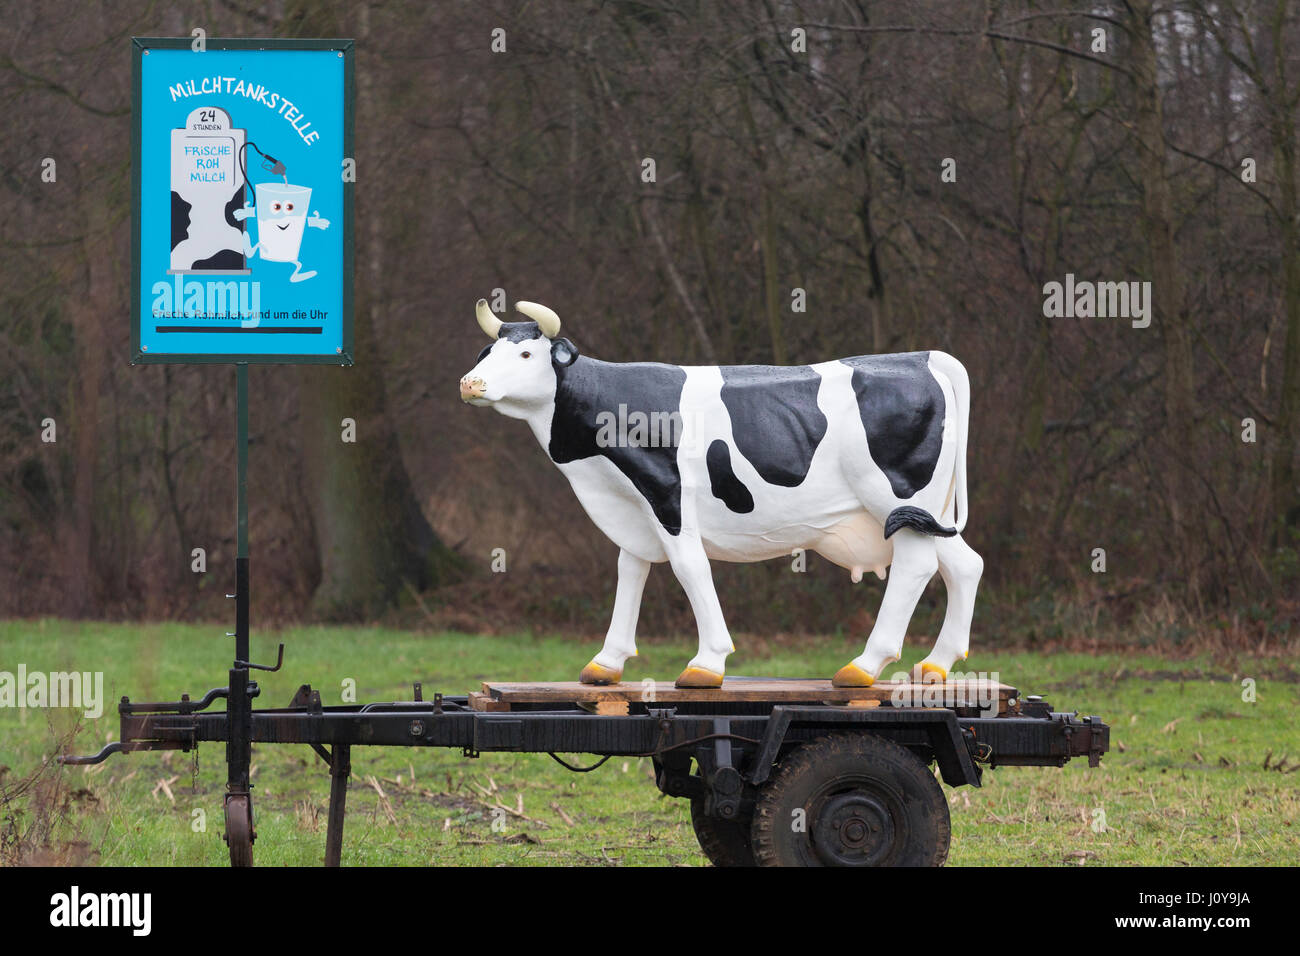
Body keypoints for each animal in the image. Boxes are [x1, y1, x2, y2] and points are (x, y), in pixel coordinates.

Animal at [462, 299, 977, 686]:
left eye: (526, 356)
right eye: (487, 352)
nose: (470, 382)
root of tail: (922, 356)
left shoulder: (667, 493)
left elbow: (690, 568)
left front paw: (707, 663)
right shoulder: (633, 506)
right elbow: (630, 570)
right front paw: (606, 663)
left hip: (897, 498)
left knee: (916, 567)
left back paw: (864, 667)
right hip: (927, 511)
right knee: (964, 564)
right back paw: (934, 666)